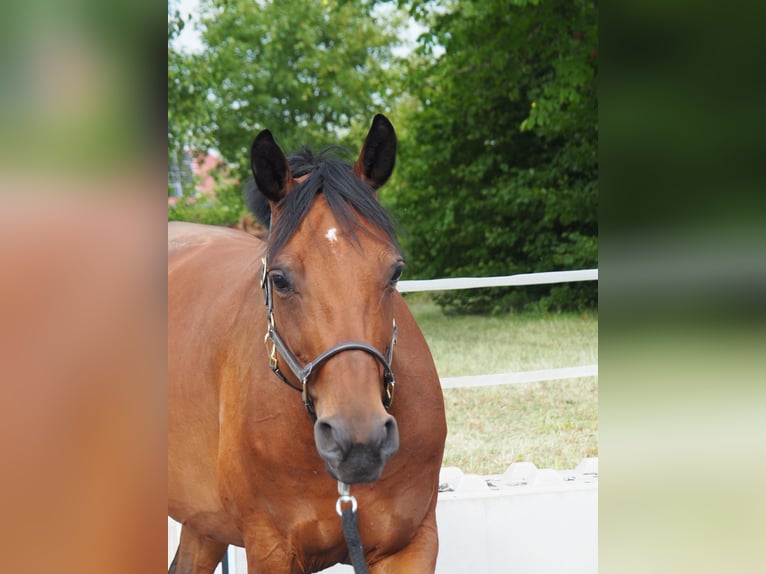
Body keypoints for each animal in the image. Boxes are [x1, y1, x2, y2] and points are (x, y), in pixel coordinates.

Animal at [168, 115, 447, 573]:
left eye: (395, 271)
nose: (358, 439)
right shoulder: (270, 550)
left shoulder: (412, 544)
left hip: (203, 521)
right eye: (279, 279)